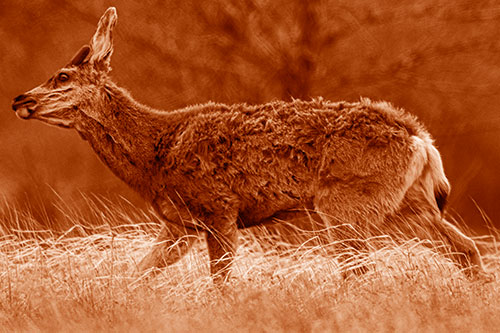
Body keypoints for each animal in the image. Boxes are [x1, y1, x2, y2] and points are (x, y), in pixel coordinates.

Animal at [10, 7, 488, 282]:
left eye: (63, 77)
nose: (19, 99)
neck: (154, 155)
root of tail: (420, 139)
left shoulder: (218, 210)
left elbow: (220, 284)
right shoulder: (178, 225)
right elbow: (136, 276)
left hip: (347, 204)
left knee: (361, 271)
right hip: (408, 204)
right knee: (466, 251)